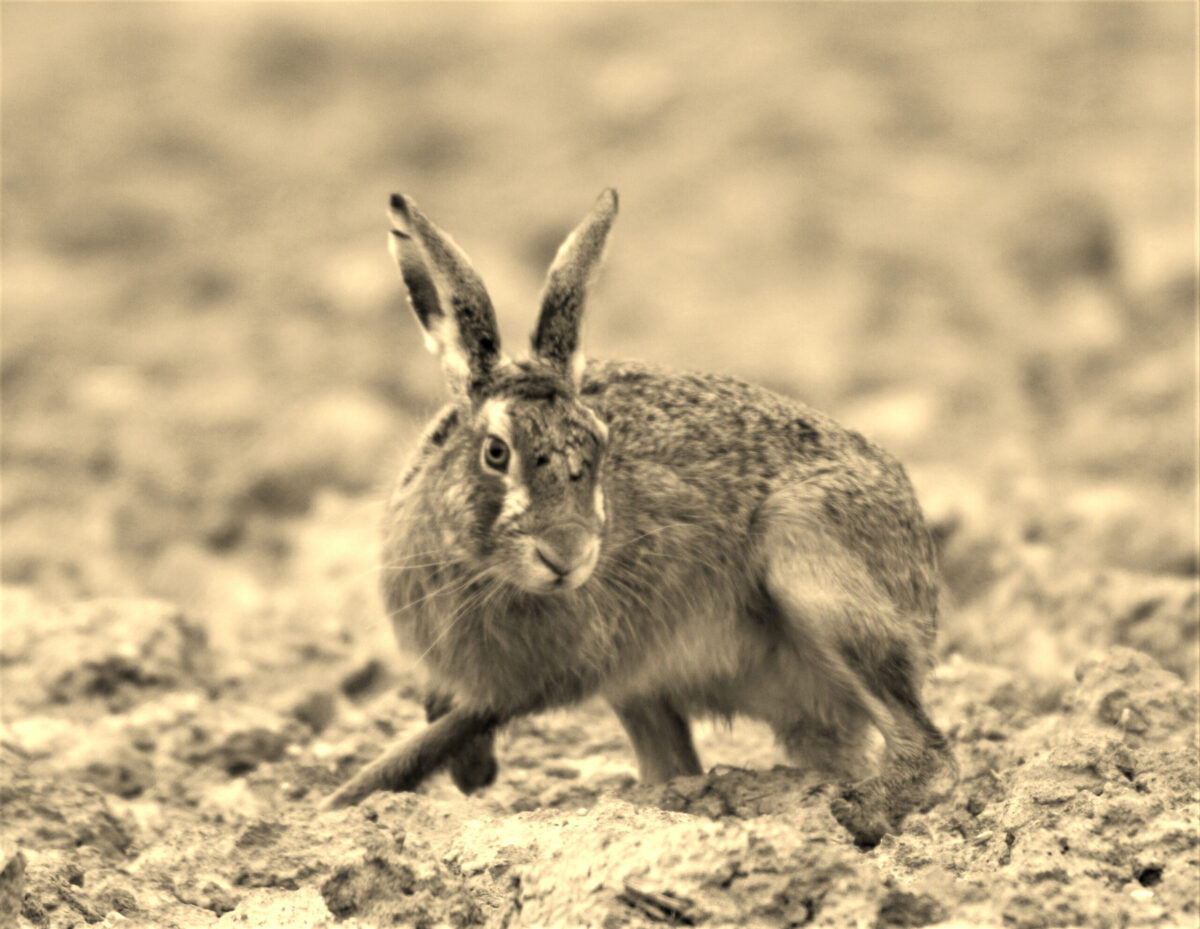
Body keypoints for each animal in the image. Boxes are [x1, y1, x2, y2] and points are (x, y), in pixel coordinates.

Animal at [321, 189, 952, 846]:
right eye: (496, 452)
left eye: (600, 444)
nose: (568, 554)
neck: (485, 568)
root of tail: (925, 584)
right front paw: (460, 778)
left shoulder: (540, 680)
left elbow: (431, 741)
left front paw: (331, 808)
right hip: (650, 691)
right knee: (680, 765)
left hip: (807, 559)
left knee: (929, 752)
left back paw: (857, 811)